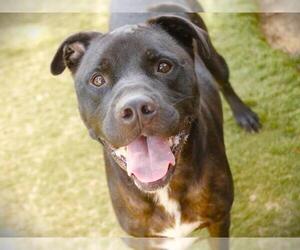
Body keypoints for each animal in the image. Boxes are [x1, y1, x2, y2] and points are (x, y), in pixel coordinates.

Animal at [49, 0, 260, 248]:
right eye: (97, 80)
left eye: (164, 66)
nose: (135, 107)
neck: (164, 190)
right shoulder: (140, 238)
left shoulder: (219, 221)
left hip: (213, 59)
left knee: (224, 82)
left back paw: (244, 114)